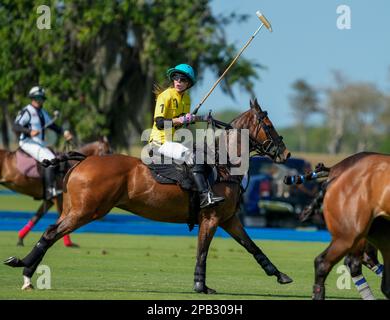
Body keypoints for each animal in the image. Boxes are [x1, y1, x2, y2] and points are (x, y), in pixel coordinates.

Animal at [5, 99, 292, 292]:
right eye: (268, 124)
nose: (286, 153)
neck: (224, 165)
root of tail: (83, 160)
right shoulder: (211, 218)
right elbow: (202, 252)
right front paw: (201, 286)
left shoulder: (229, 219)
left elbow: (253, 246)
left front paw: (280, 275)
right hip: (86, 210)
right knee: (51, 232)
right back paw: (27, 272)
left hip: (74, 208)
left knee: (50, 230)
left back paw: (26, 269)